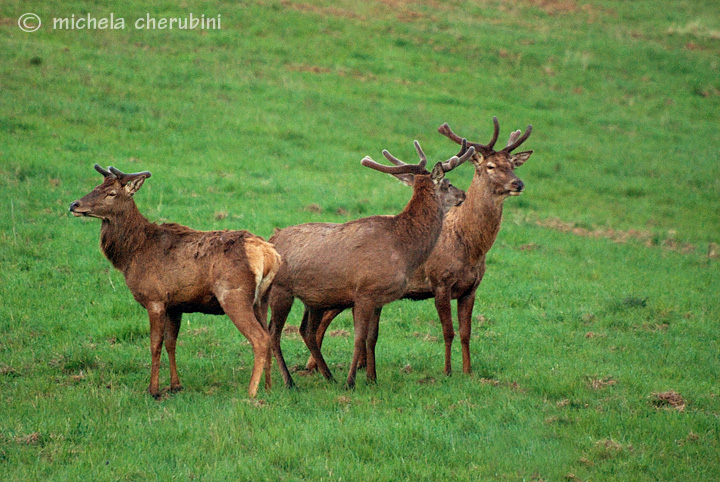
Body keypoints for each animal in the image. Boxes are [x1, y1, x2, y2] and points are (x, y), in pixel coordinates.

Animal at [69, 166, 280, 400]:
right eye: (96, 186)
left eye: (111, 193)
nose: (74, 205)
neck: (132, 253)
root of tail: (269, 254)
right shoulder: (175, 305)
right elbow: (172, 342)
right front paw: (175, 386)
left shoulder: (154, 299)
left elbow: (155, 344)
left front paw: (153, 390)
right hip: (262, 299)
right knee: (270, 336)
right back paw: (268, 387)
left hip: (234, 295)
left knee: (260, 339)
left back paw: (251, 392)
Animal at [310, 116, 536, 376]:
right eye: (490, 166)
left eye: (512, 165)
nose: (518, 183)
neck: (471, 247)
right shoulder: (440, 281)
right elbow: (448, 331)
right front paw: (447, 372)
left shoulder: (471, 288)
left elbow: (466, 333)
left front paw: (468, 372)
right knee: (324, 318)